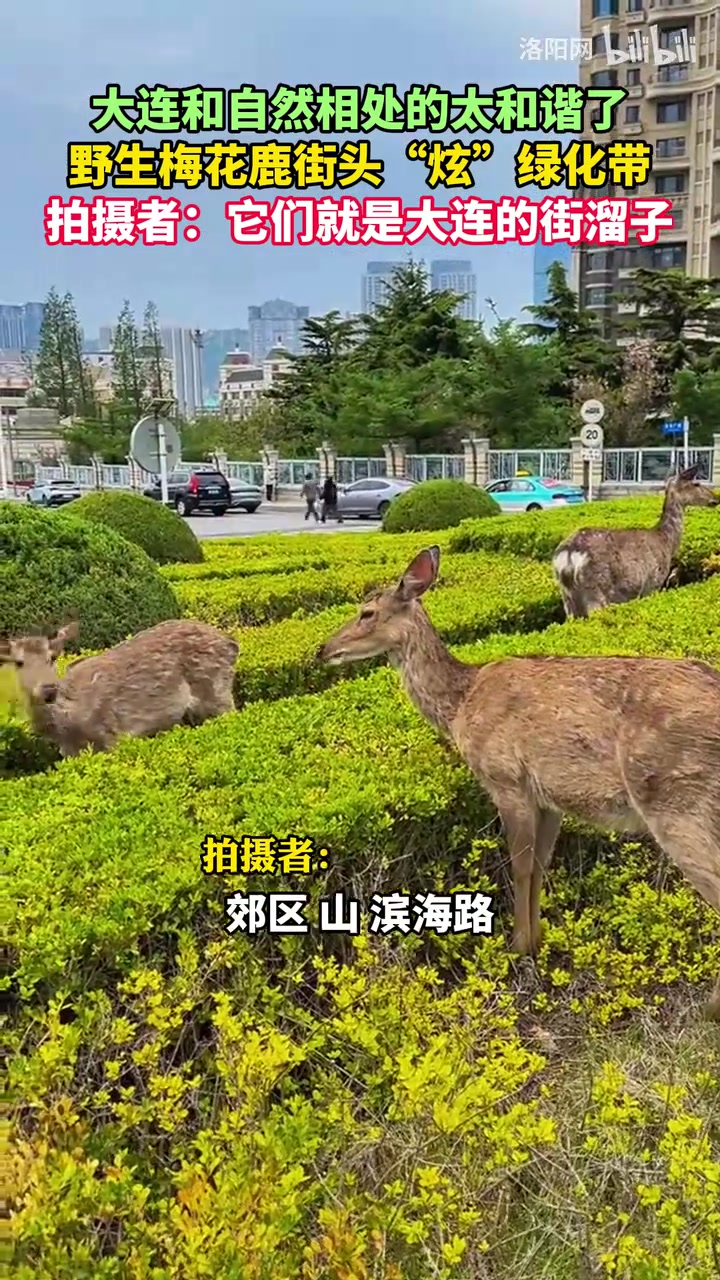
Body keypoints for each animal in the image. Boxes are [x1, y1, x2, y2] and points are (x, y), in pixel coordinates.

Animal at [0, 614, 240, 752]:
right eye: (19, 662)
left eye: (52, 657)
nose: (49, 689)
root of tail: (232, 644)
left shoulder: (111, 735)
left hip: (217, 692)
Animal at [317, 547, 720, 1018]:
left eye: (366, 612)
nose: (323, 649)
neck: (460, 706)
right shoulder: (549, 798)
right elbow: (541, 865)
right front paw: (537, 941)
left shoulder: (506, 780)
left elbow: (520, 866)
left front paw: (518, 947)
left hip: (675, 798)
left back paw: (710, 1008)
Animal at [548, 465, 712, 619]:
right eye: (696, 483)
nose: (715, 498)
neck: (666, 542)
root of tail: (568, 555)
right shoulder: (653, 583)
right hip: (595, 590)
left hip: (567, 596)